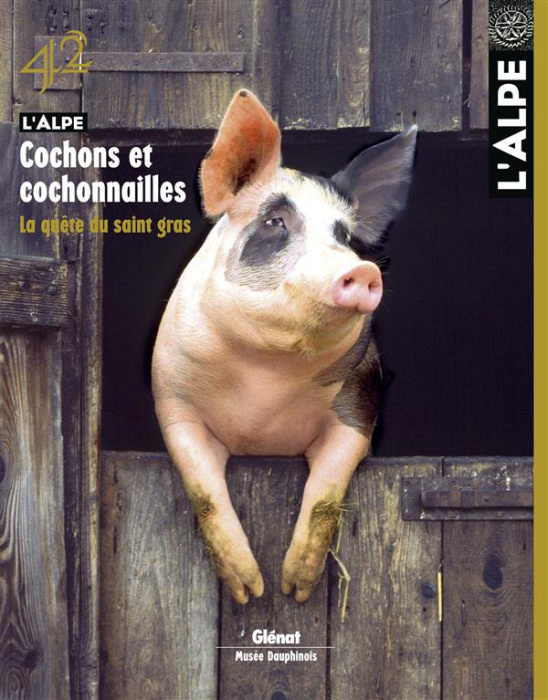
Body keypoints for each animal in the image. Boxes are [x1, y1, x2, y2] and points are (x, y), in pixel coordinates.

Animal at [152, 90, 416, 604]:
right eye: (275, 222)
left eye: (345, 236)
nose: (362, 270)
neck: (266, 376)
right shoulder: (173, 401)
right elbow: (205, 493)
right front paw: (250, 591)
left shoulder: (359, 406)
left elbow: (327, 493)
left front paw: (295, 589)